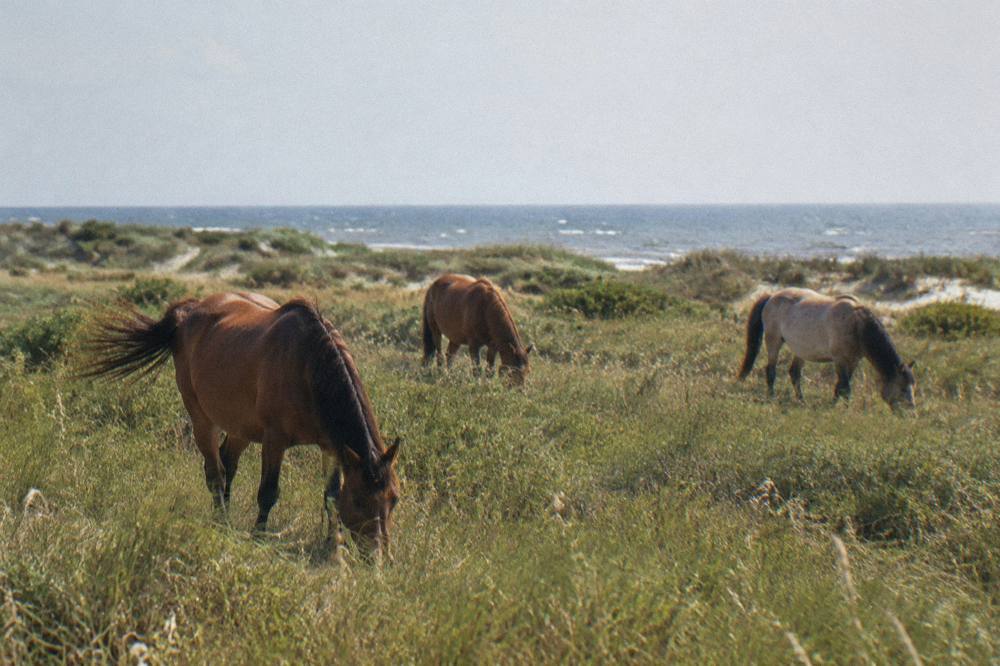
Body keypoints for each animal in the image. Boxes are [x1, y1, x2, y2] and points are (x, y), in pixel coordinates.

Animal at [80, 292, 400, 552]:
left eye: (394, 498)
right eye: (358, 500)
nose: (376, 556)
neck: (307, 366)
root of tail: (189, 311)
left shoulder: (330, 446)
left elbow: (330, 496)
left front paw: (333, 545)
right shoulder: (274, 440)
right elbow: (268, 492)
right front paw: (259, 536)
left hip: (241, 427)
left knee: (227, 462)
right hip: (202, 418)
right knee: (214, 471)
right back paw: (221, 520)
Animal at [738, 288, 915, 410]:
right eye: (902, 388)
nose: (911, 413)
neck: (856, 324)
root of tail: (771, 296)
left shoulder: (853, 361)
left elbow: (840, 386)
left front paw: (834, 404)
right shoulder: (840, 360)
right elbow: (845, 387)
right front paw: (844, 409)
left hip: (800, 350)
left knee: (794, 373)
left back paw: (802, 401)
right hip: (774, 341)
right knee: (771, 370)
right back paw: (772, 397)